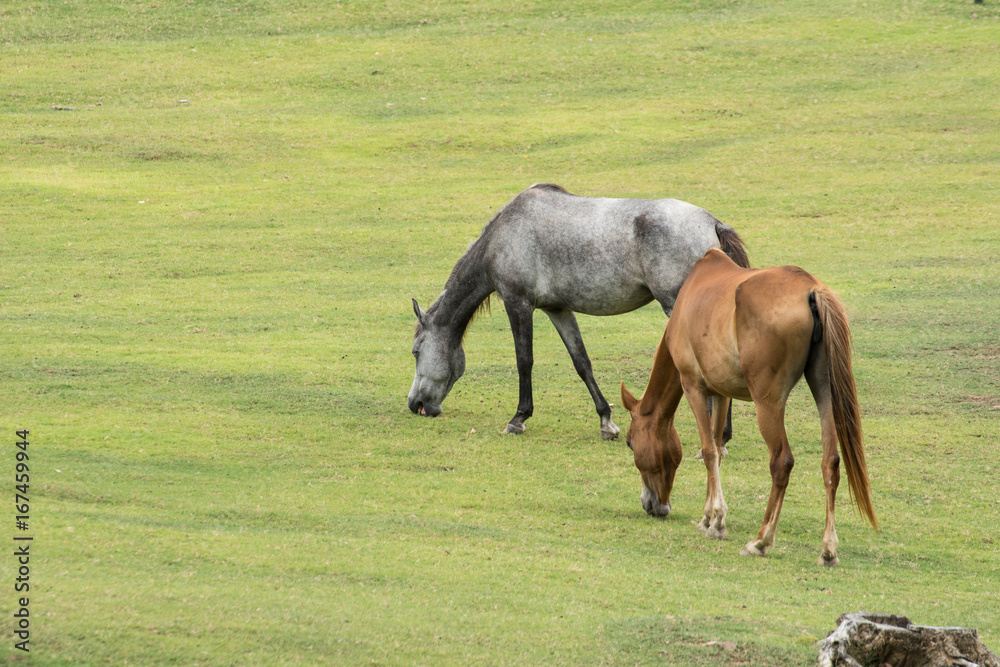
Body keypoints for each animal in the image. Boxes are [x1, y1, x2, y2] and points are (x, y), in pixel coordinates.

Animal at [409, 183, 750, 439]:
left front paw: (519, 418)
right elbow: (581, 362)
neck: (505, 233)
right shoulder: (558, 310)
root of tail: (712, 222)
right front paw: (607, 421)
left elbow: (524, 361)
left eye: (415, 352)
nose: (415, 404)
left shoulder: (517, 303)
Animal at [620, 248, 877, 566]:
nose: (652, 505)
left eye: (630, 443)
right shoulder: (720, 394)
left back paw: (760, 541)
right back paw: (828, 550)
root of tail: (810, 289)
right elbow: (717, 450)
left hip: (768, 404)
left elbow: (708, 451)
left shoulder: (694, 387)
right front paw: (708, 518)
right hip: (824, 392)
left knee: (782, 462)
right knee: (830, 462)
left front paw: (718, 522)